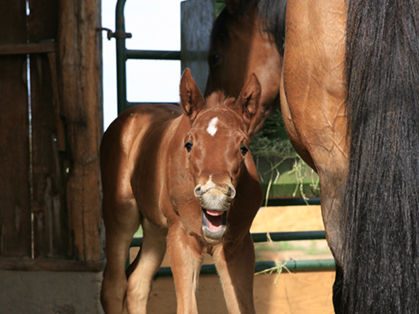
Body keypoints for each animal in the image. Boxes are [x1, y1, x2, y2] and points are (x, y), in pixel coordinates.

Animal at [101, 69, 266, 314]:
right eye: (189, 144)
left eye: (243, 147)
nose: (214, 195)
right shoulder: (181, 238)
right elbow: (187, 308)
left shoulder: (238, 245)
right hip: (120, 215)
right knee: (114, 286)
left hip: (155, 228)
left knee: (137, 283)